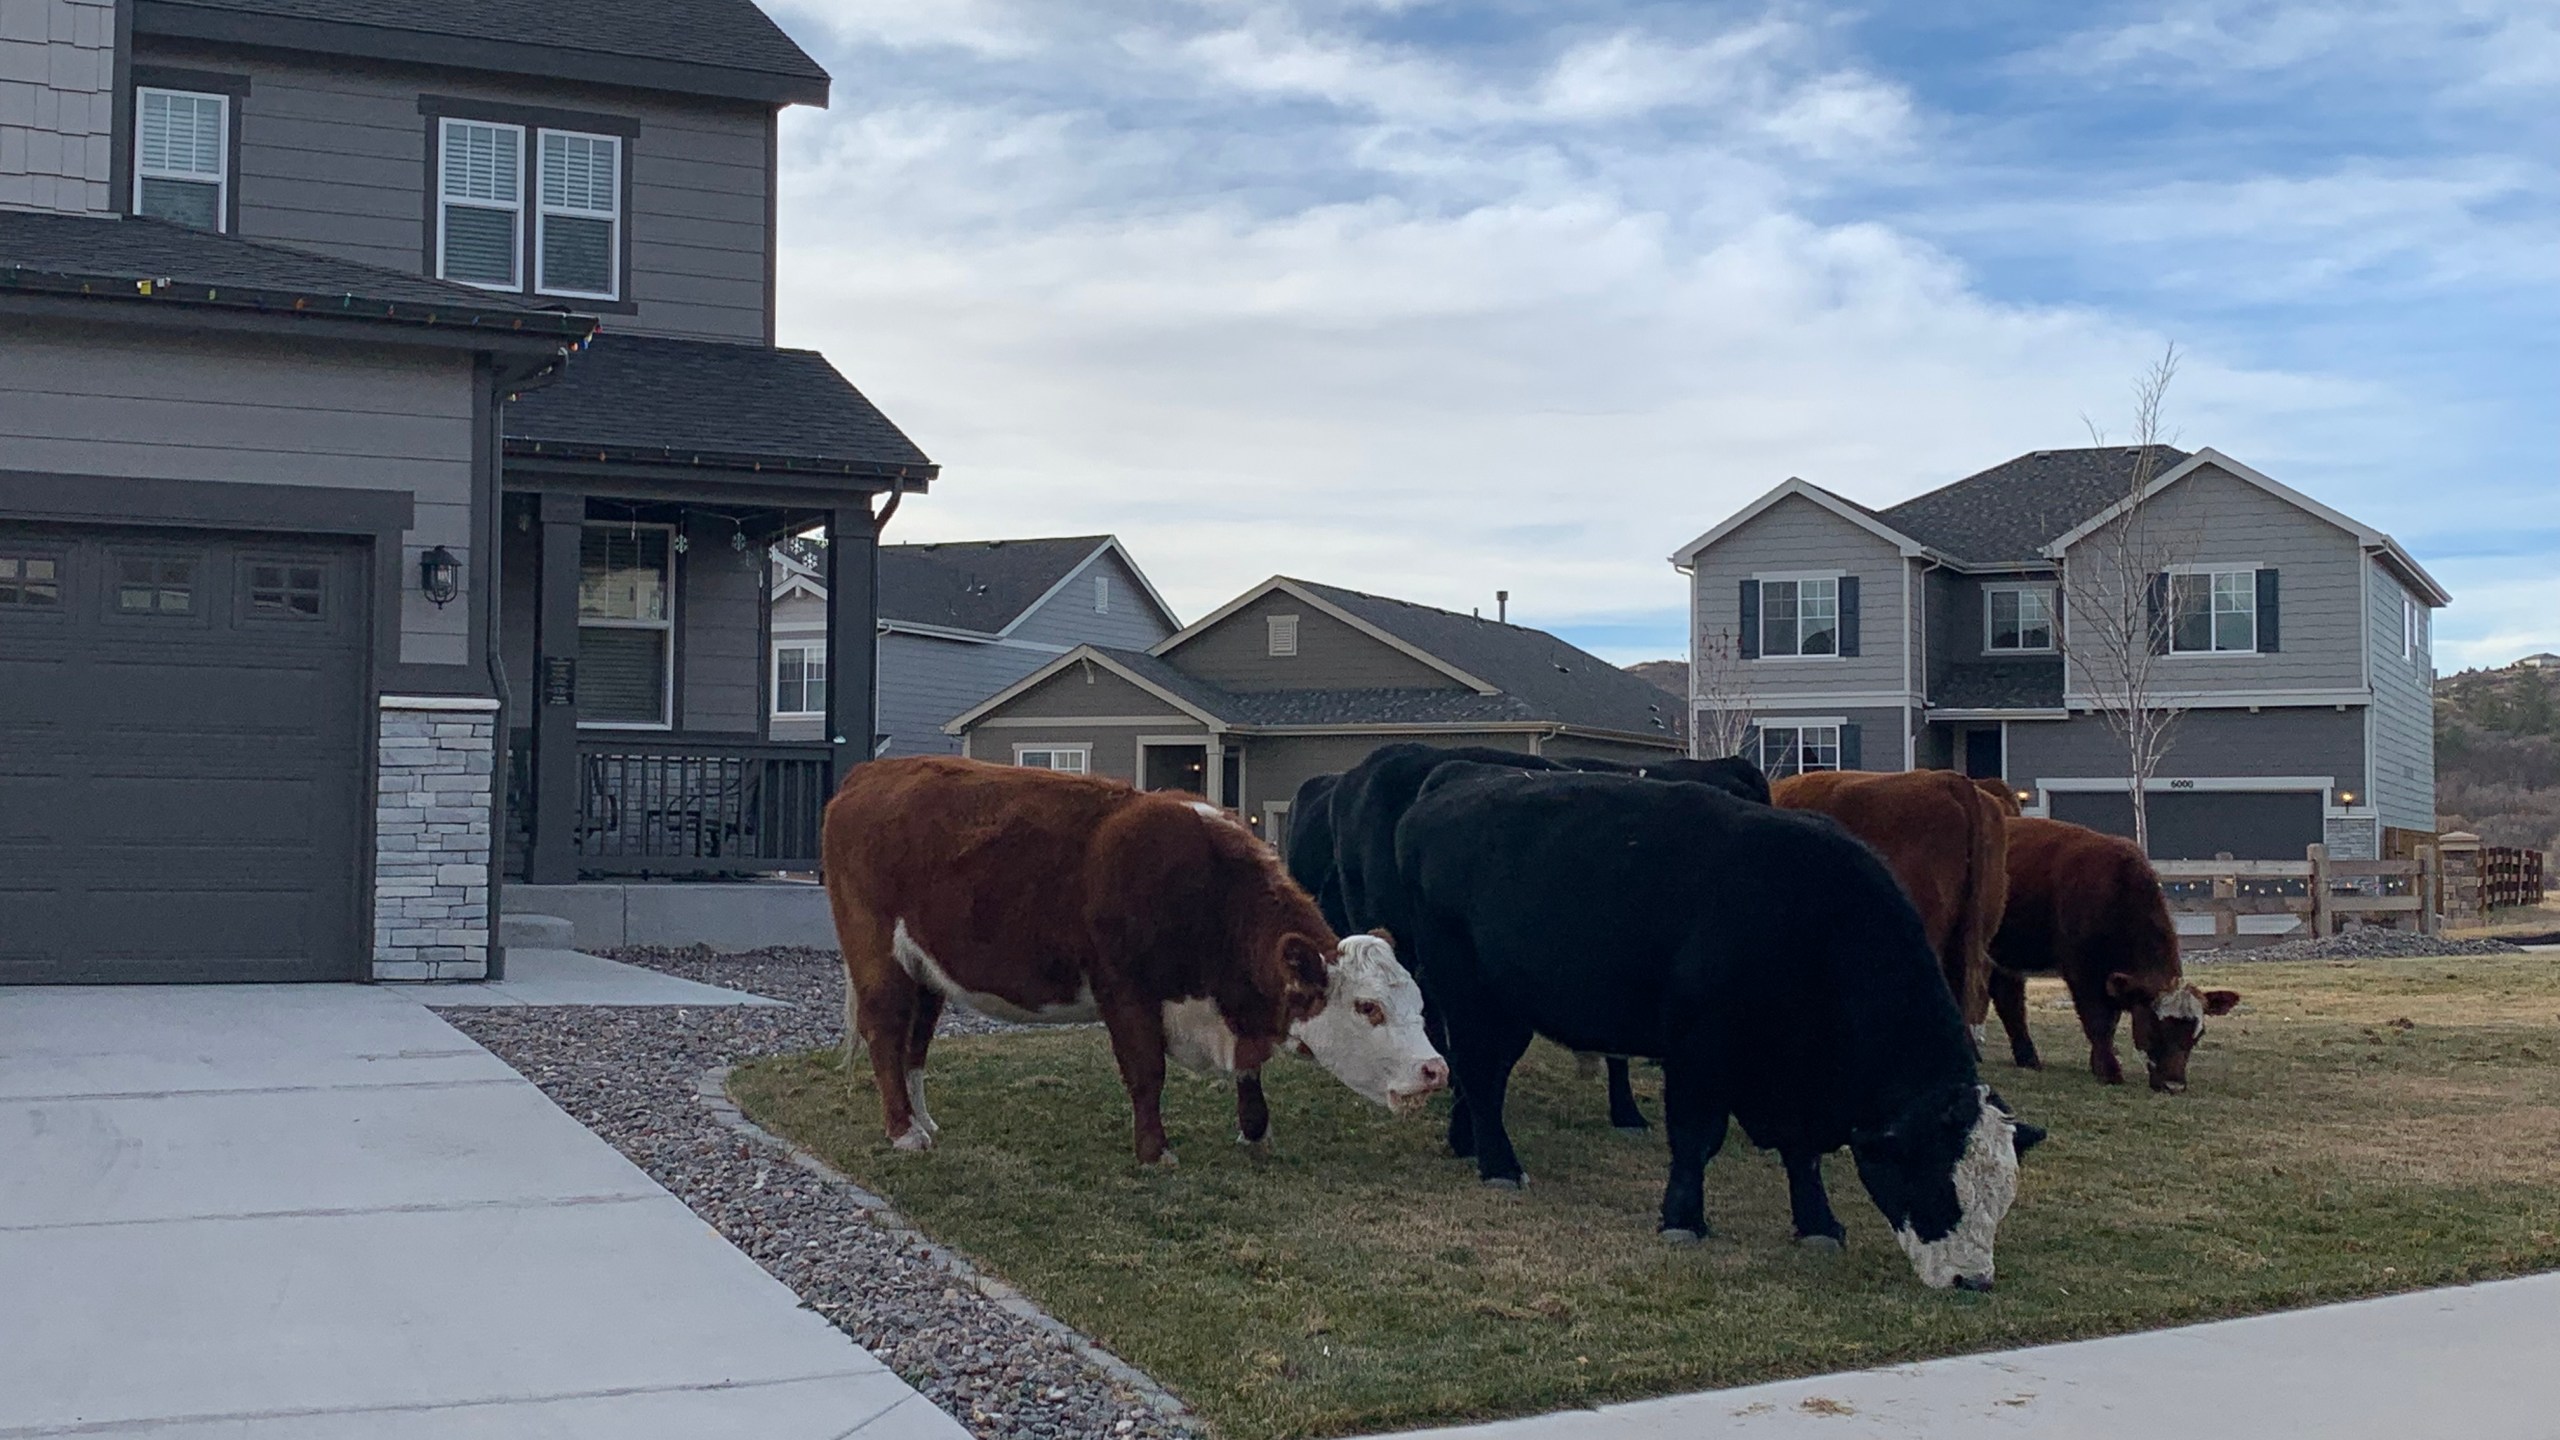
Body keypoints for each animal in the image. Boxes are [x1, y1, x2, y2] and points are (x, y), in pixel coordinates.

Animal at [824, 758, 1454, 1158]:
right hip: (878, 957)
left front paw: (1256, 1135)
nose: (1436, 1069)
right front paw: (1155, 1151)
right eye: (1368, 1008)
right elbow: (1146, 1071)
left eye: (1420, 1003)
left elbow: (1251, 1075)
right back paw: (903, 1132)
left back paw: (925, 1120)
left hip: (926, 969)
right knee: (885, 1033)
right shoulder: (1125, 990)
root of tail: (869, 774)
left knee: (915, 1042)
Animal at [1976, 814, 2242, 1081]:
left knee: (2007, 998)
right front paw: (2109, 1070)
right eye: (2154, 1026)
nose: (2173, 1084)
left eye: (2197, 1035)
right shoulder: (2083, 972)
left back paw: (2027, 1057)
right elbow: (2098, 1020)